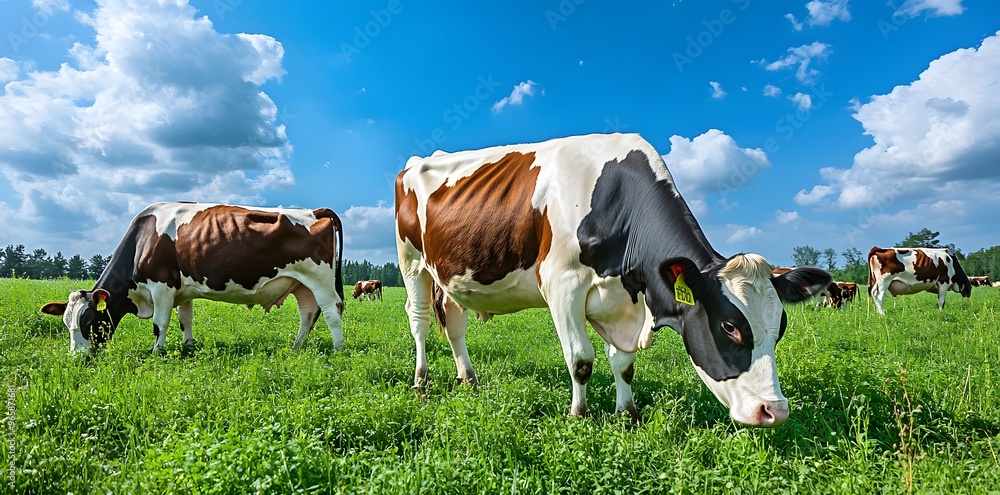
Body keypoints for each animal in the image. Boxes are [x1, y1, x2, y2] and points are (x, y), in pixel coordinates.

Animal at [40, 203, 346, 354]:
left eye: (88, 320)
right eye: (65, 322)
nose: (77, 357)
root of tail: (314, 210)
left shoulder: (161, 286)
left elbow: (160, 324)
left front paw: (157, 352)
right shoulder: (182, 290)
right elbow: (185, 320)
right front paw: (188, 347)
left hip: (319, 280)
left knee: (332, 312)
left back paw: (338, 349)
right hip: (302, 284)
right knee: (308, 314)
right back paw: (296, 347)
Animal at [395, 133, 831, 427]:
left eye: (781, 327)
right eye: (729, 326)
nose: (774, 411)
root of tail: (417, 160)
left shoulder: (623, 298)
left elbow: (623, 363)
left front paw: (627, 412)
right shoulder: (561, 285)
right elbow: (581, 359)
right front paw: (579, 414)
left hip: (449, 273)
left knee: (454, 324)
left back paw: (468, 379)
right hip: (411, 261)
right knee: (419, 321)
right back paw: (421, 381)